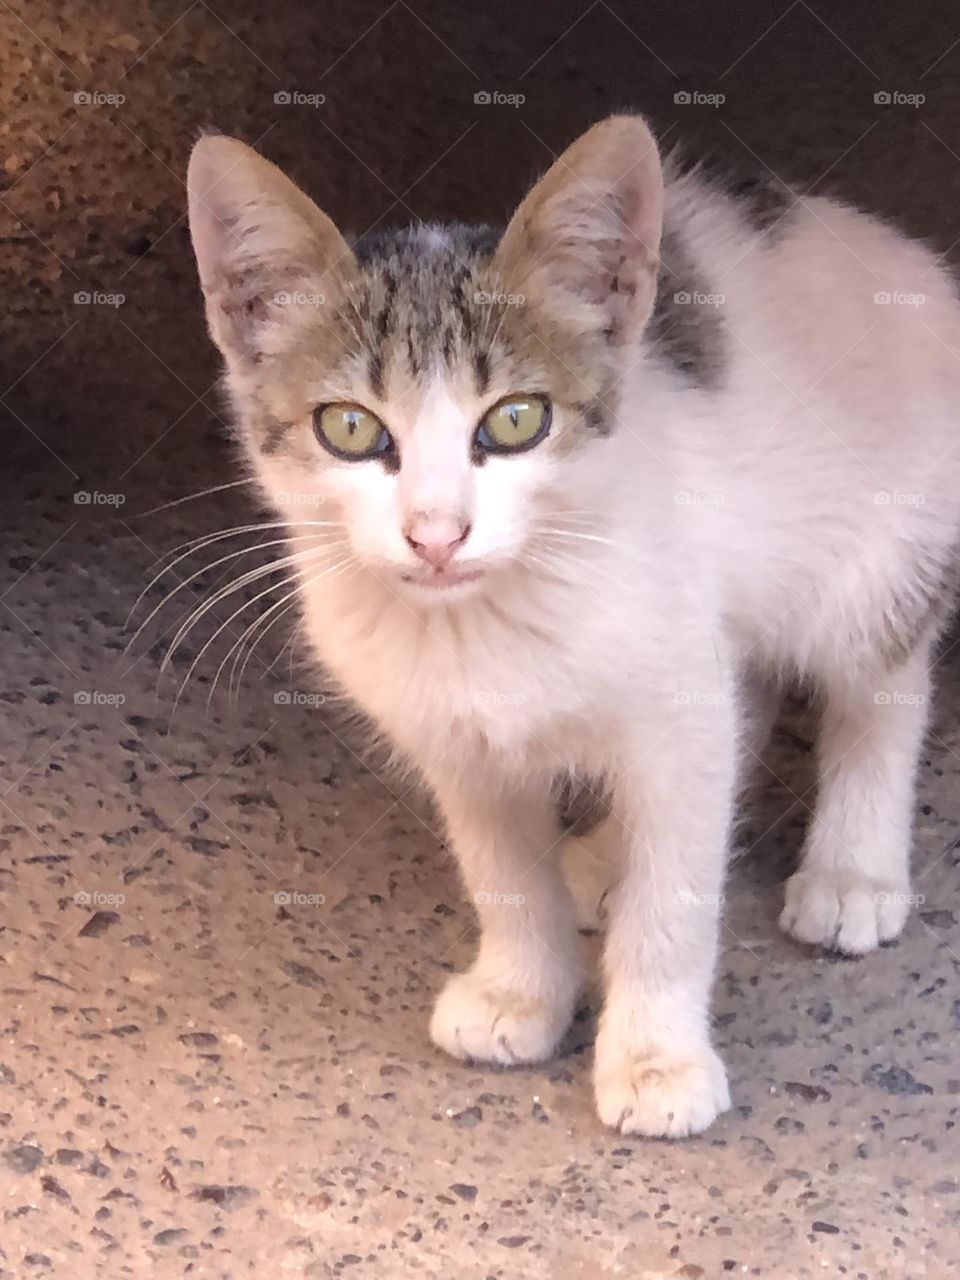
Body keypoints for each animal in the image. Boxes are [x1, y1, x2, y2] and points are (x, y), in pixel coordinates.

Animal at [185, 115, 960, 1136]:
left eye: (517, 419)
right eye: (350, 429)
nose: (437, 533)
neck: (487, 620)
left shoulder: (676, 698)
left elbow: (676, 893)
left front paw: (657, 1057)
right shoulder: (457, 738)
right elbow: (504, 872)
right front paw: (520, 990)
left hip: (877, 555)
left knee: (882, 684)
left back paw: (854, 870)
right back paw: (603, 858)